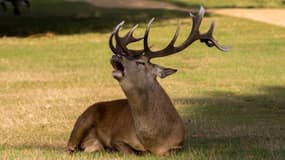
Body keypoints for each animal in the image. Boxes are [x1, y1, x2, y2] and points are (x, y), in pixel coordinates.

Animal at [65, 6, 229, 156]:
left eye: (140, 62)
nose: (115, 55)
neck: (155, 140)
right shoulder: (117, 137)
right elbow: (130, 151)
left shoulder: (179, 145)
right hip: (83, 120)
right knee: (69, 147)